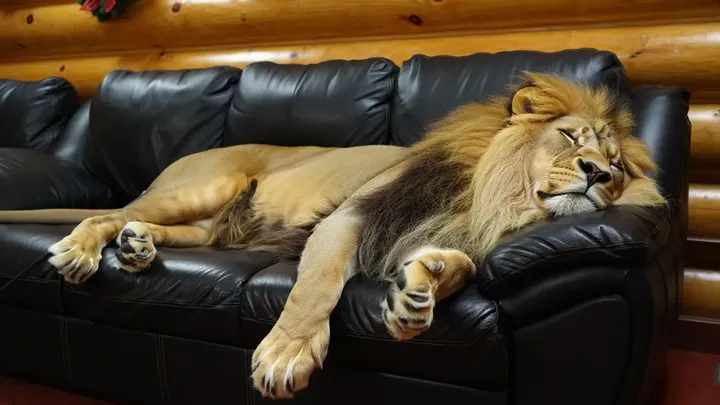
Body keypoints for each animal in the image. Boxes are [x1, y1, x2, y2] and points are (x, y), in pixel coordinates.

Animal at [0, 72, 666, 399]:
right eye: (572, 138)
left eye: (618, 167)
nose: (596, 174)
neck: (493, 202)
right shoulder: (349, 218)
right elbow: (315, 286)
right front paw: (287, 354)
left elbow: (459, 266)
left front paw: (418, 293)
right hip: (201, 186)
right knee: (107, 212)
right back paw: (83, 250)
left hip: (211, 225)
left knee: (167, 229)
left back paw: (138, 249)